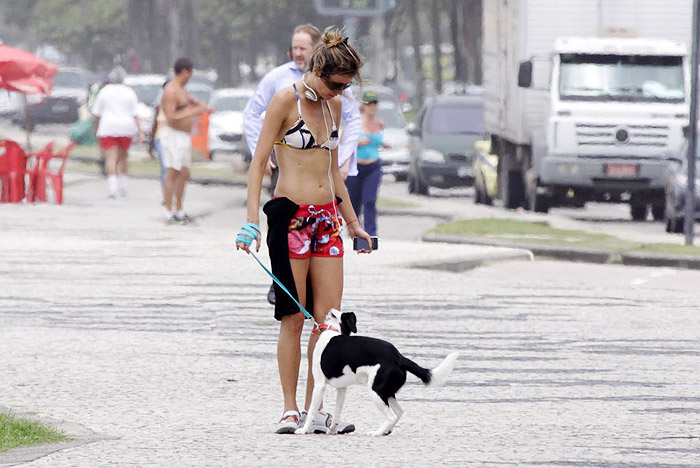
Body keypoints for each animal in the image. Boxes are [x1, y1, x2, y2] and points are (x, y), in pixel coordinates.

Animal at [296, 308, 460, 436]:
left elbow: (311, 411)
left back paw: (377, 432)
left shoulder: (319, 385)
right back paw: (386, 430)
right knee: (399, 412)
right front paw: (332, 430)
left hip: (376, 391)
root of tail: (398, 357)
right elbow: (337, 412)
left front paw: (304, 430)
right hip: (387, 392)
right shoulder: (342, 389)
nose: (331, 310)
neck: (334, 331)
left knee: (391, 416)